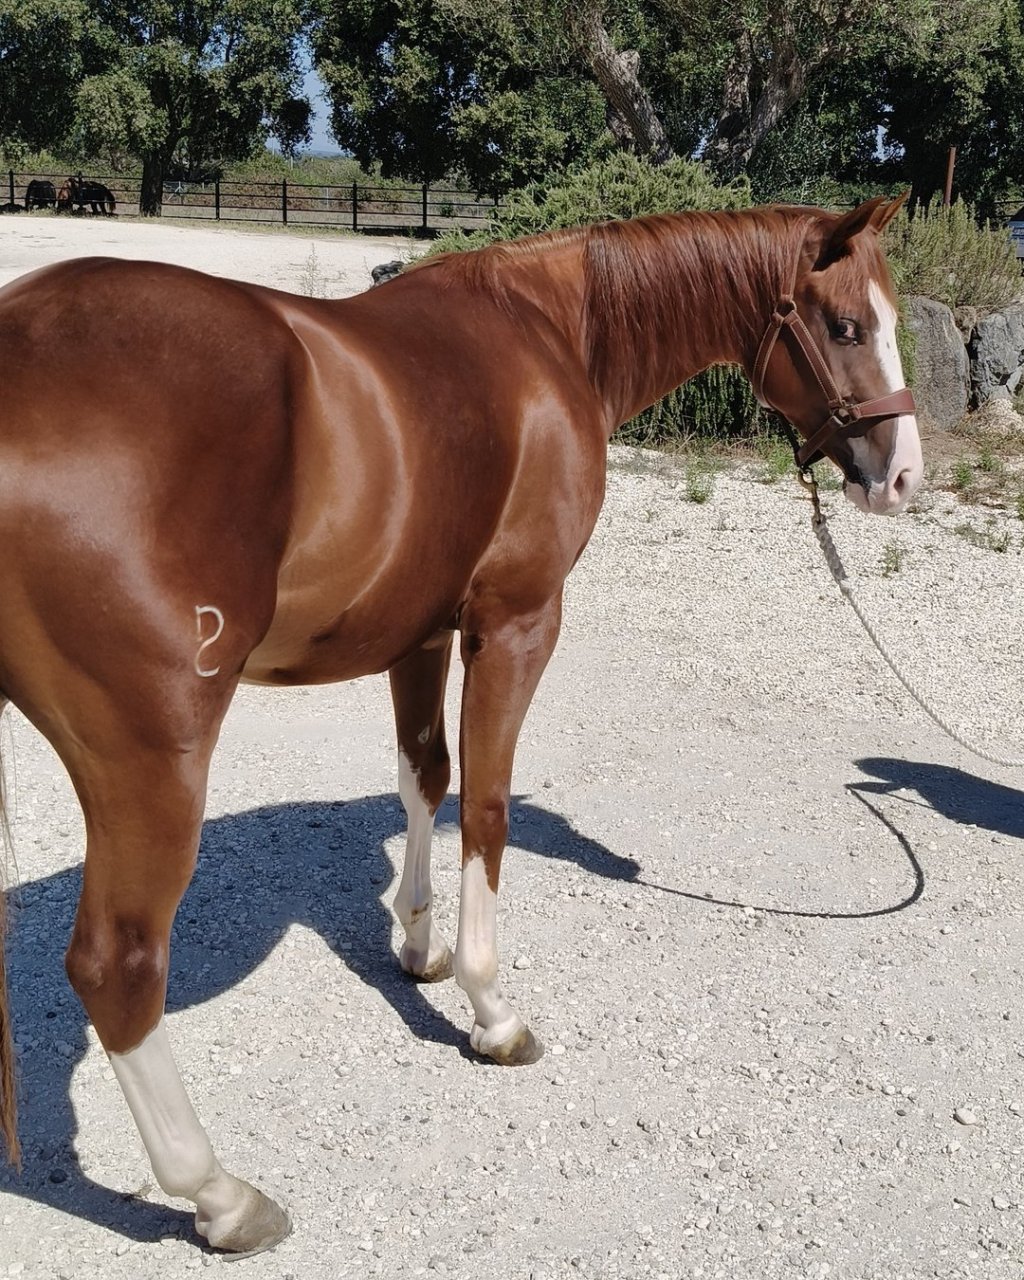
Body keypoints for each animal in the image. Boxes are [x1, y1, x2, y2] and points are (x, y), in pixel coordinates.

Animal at [0, 196, 922, 1254]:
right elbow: (484, 806)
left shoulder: (420, 631)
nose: (903, 476)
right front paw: (491, 1010)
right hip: (150, 754)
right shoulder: (517, 626)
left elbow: (424, 776)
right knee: (118, 965)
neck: (550, 328)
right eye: (846, 327)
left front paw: (418, 945)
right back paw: (220, 1195)